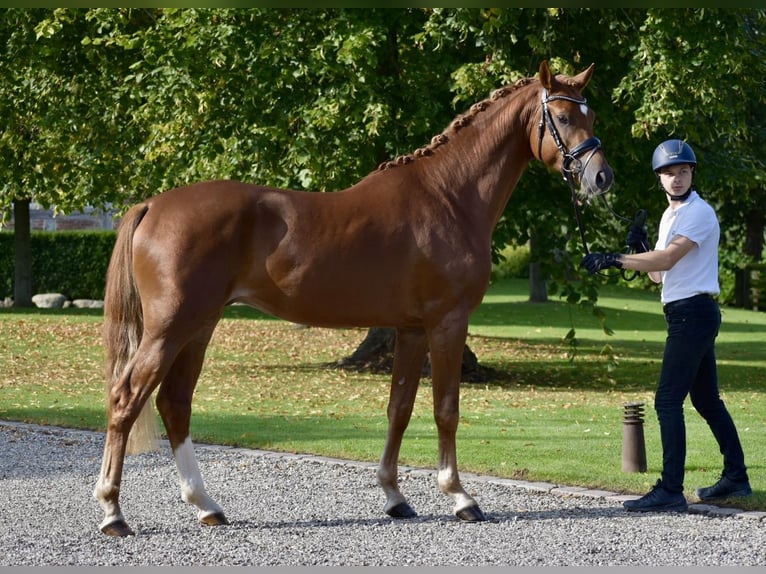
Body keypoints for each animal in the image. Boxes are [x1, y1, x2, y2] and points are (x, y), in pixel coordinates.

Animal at [96, 60, 616, 536]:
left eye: (592, 115)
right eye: (563, 117)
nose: (601, 177)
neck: (449, 196)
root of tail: (152, 206)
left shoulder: (411, 329)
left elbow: (399, 409)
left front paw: (395, 496)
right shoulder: (447, 322)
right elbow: (445, 409)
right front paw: (460, 497)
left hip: (199, 325)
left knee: (174, 403)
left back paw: (206, 505)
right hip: (171, 327)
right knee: (127, 397)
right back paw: (113, 512)